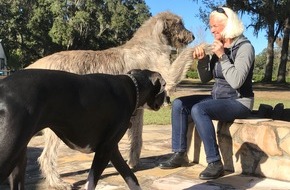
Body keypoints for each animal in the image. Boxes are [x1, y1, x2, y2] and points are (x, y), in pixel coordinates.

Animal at [0, 68, 165, 190]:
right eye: (164, 89)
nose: (168, 99)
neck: (132, 87)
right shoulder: (104, 151)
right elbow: (91, 181)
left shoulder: (111, 149)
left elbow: (131, 176)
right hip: (9, 152)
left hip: (18, 161)